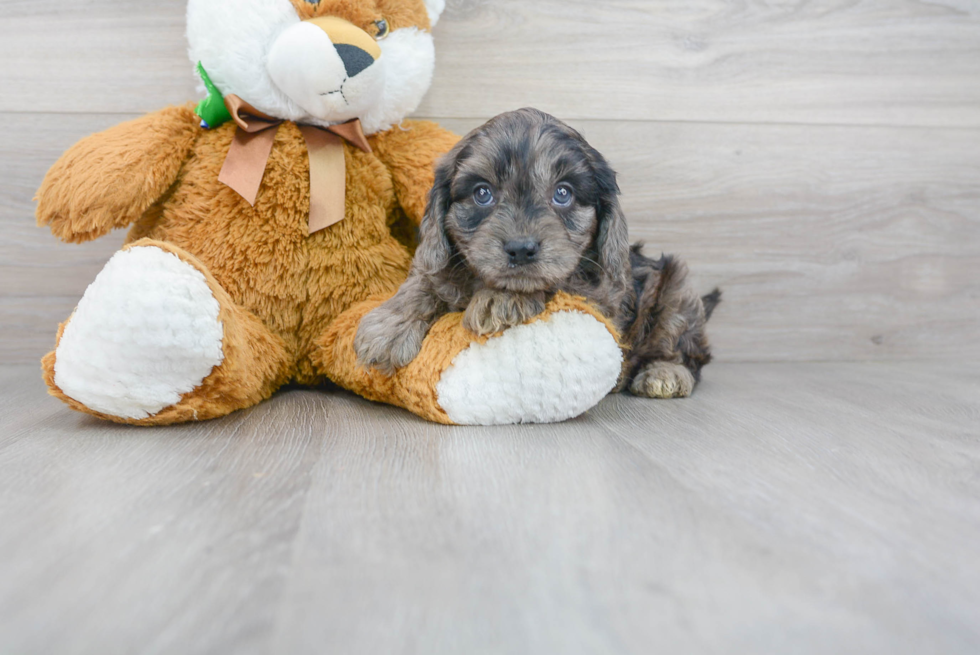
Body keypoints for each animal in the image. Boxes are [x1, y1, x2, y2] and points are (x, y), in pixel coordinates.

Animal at [354, 108, 720, 400]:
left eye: (563, 193)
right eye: (482, 193)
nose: (521, 248)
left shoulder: (597, 291)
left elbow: (553, 283)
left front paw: (501, 299)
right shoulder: (438, 261)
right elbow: (425, 282)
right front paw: (389, 327)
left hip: (676, 292)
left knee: (687, 352)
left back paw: (665, 373)